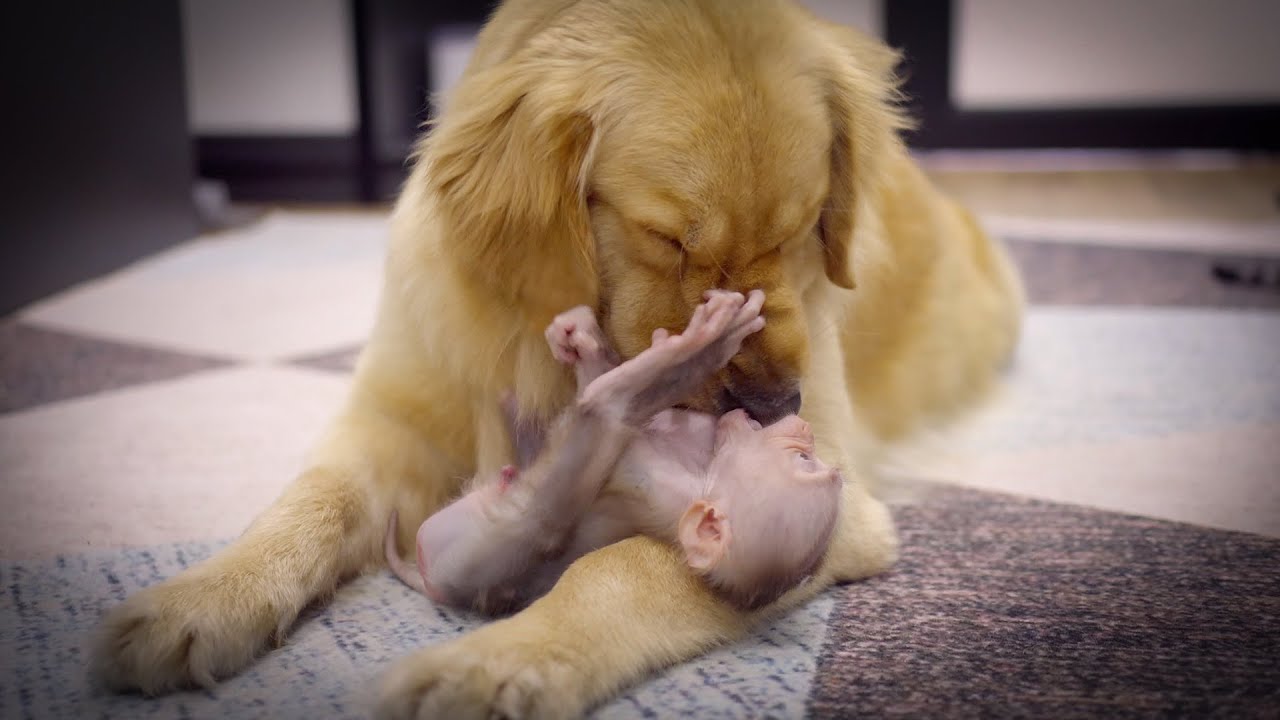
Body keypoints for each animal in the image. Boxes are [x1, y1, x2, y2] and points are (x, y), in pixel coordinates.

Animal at [384, 290, 843, 613]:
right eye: (808, 459)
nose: (805, 432)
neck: (707, 464)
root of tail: (433, 582)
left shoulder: (662, 484)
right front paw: (579, 337)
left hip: (474, 551)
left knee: (554, 494)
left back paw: (682, 363)